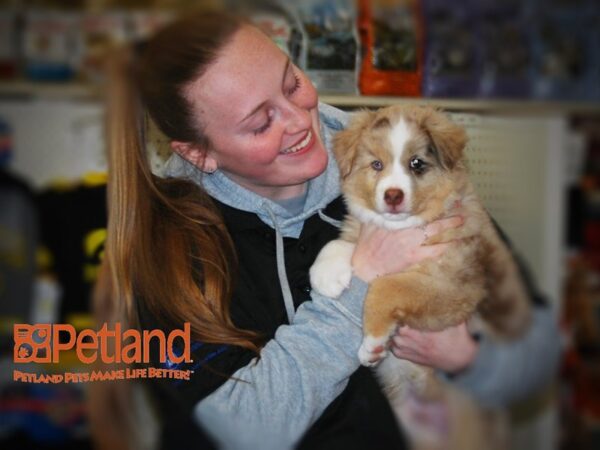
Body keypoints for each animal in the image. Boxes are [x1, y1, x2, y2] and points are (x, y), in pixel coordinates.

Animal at [312, 106, 532, 450]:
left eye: (416, 164)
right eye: (377, 164)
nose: (392, 196)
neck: (401, 228)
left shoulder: (452, 286)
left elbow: (385, 285)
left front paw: (372, 344)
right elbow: (341, 243)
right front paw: (324, 275)